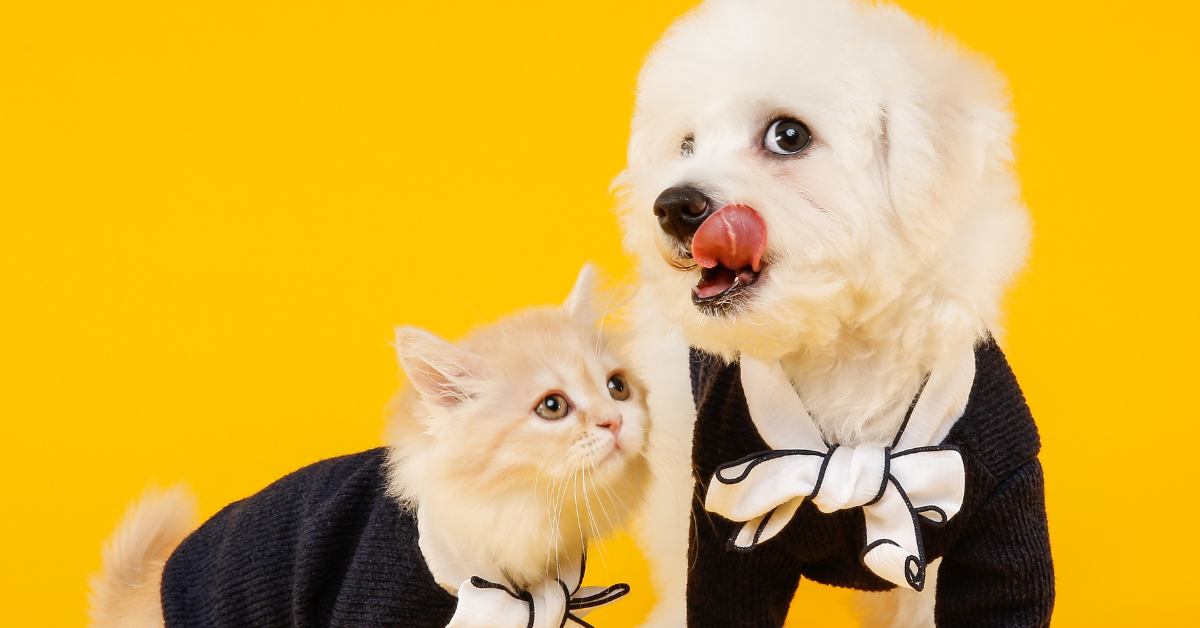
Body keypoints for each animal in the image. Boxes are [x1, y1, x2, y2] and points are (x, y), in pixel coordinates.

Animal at [624, 1, 1046, 628]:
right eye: (687, 145)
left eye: (788, 135)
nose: (673, 205)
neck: (846, 352)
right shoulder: (721, 519)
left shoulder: (997, 500)